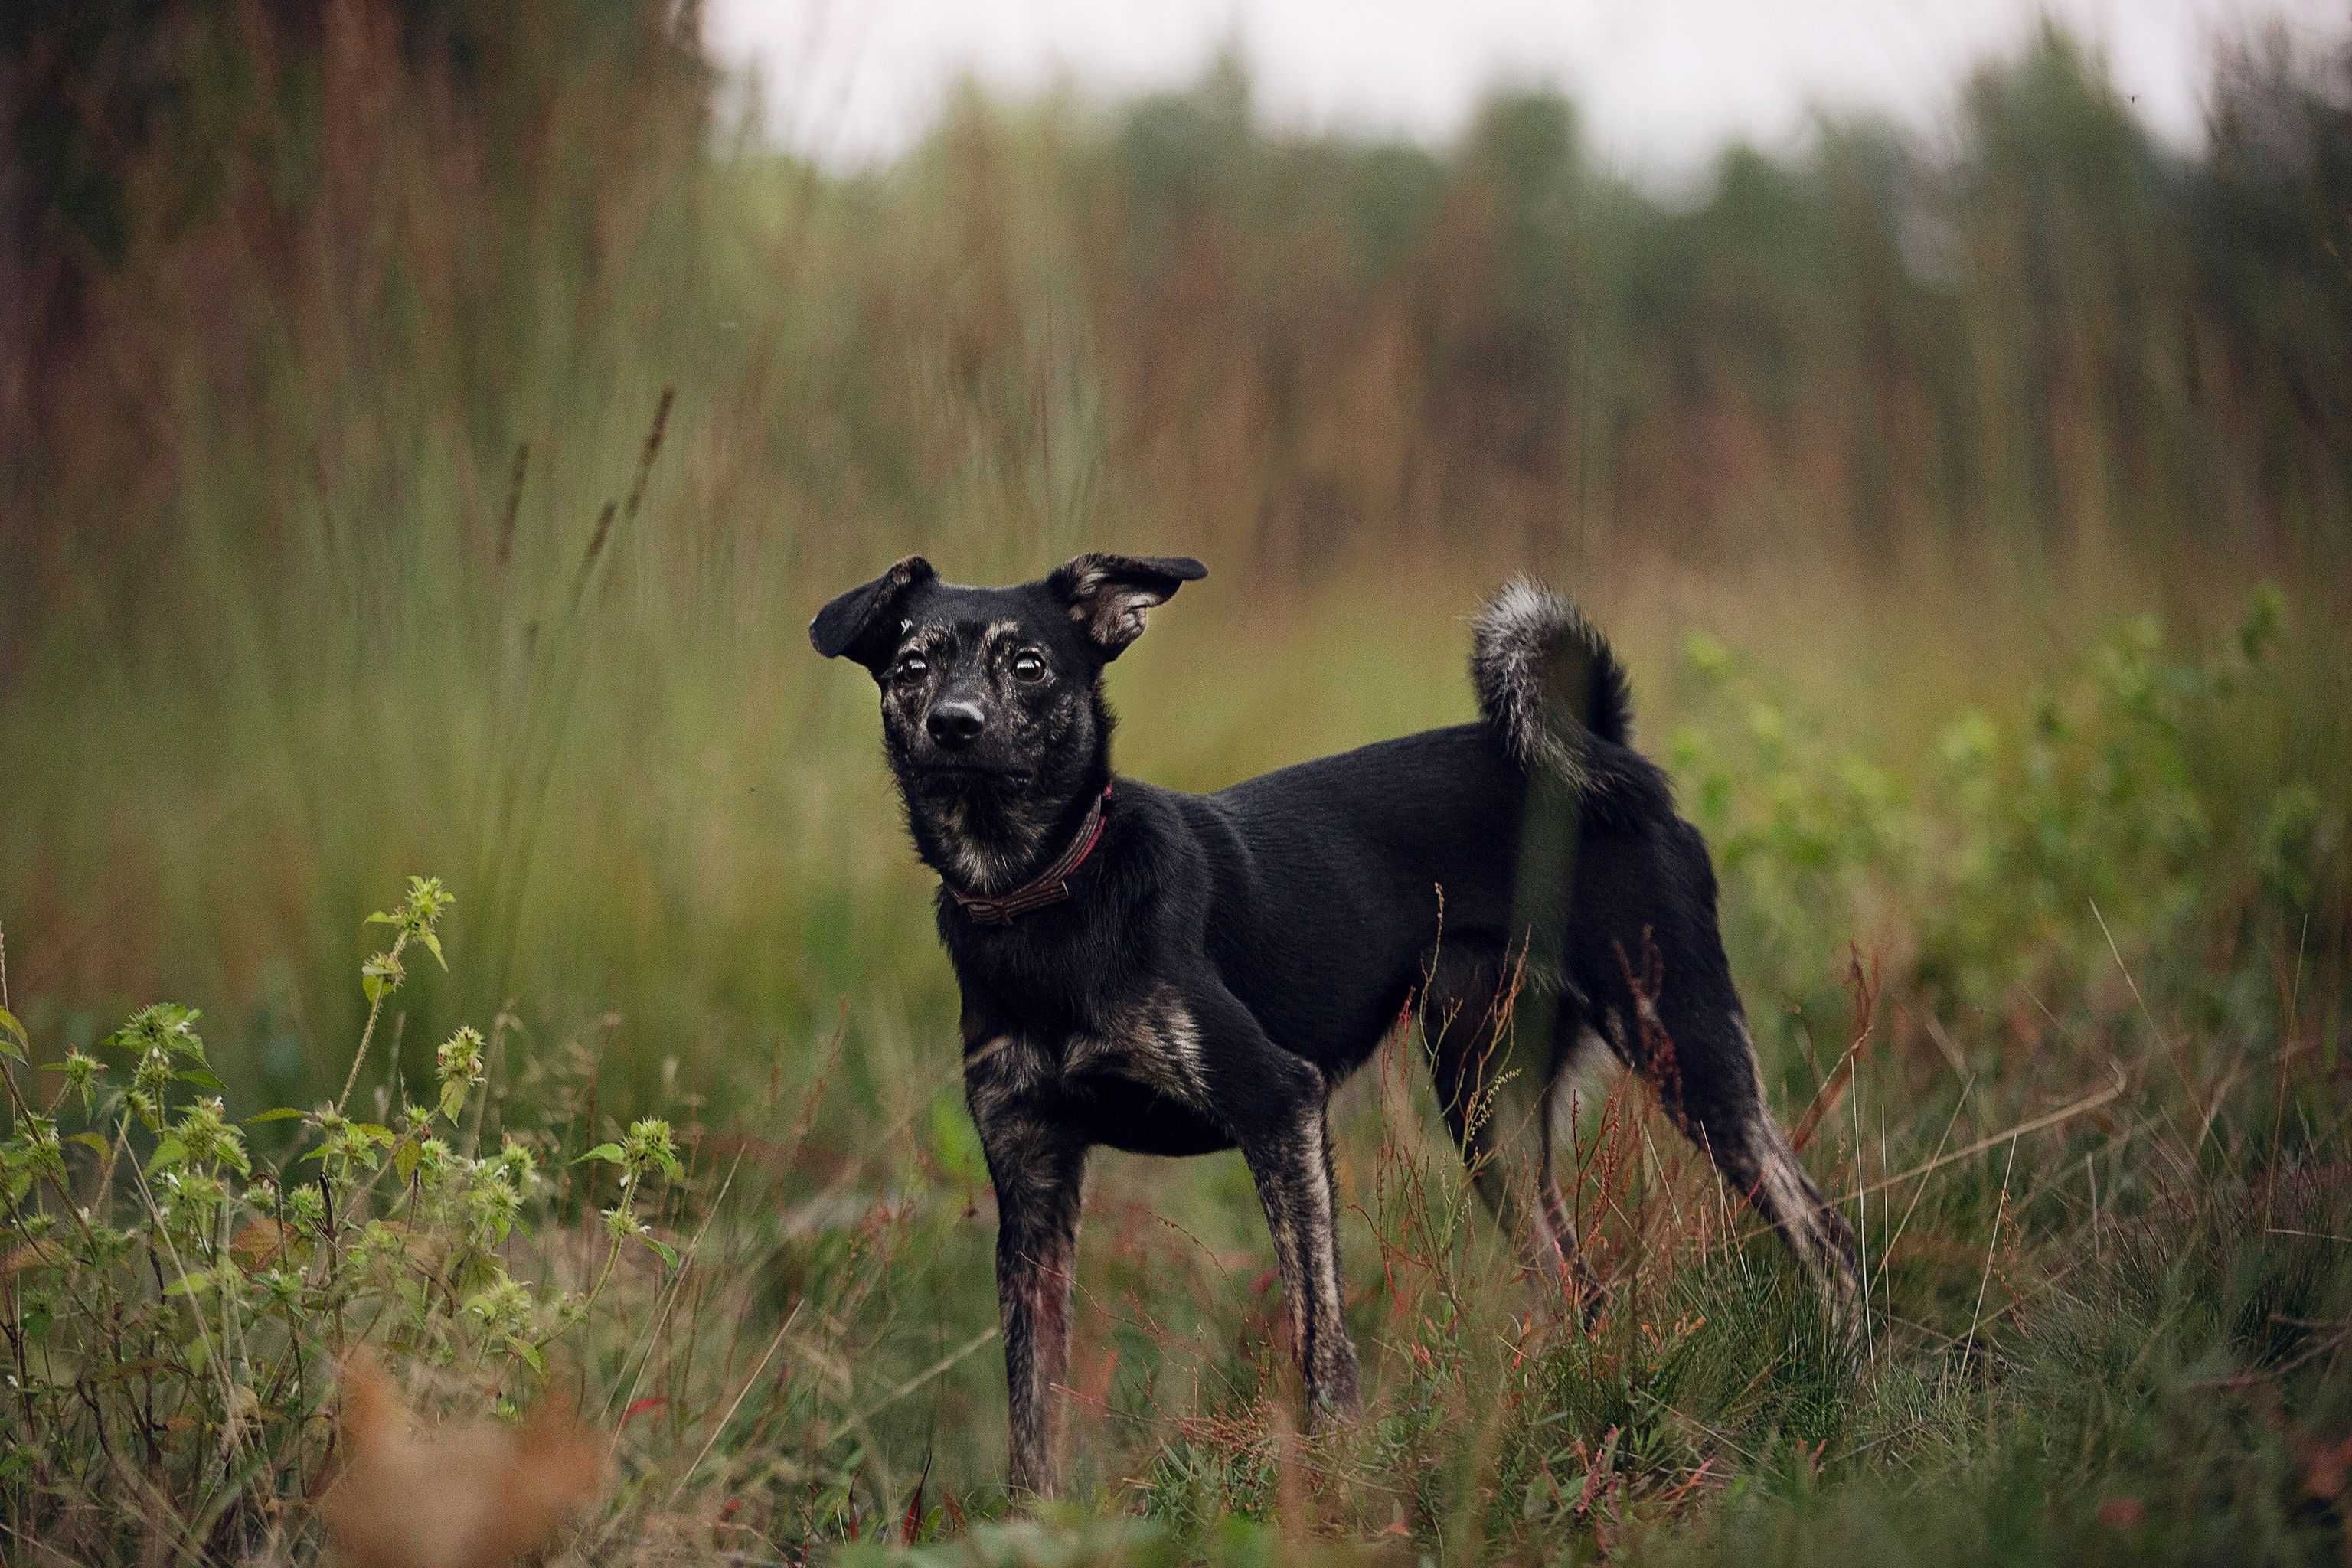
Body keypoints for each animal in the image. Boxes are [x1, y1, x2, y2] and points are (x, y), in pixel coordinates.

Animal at [818, 552, 1863, 1494]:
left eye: (1029, 663)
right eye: (911, 664)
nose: (955, 725)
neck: (1046, 895)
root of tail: (1604, 750)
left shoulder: (1279, 1101)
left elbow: (1319, 1337)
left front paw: (1334, 1478)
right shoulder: (1032, 1173)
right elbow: (1032, 1401)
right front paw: (1033, 1523)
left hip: (1683, 1042)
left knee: (1827, 1236)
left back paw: (1848, 1396)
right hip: (1489, 1110)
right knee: (1579, 1283)